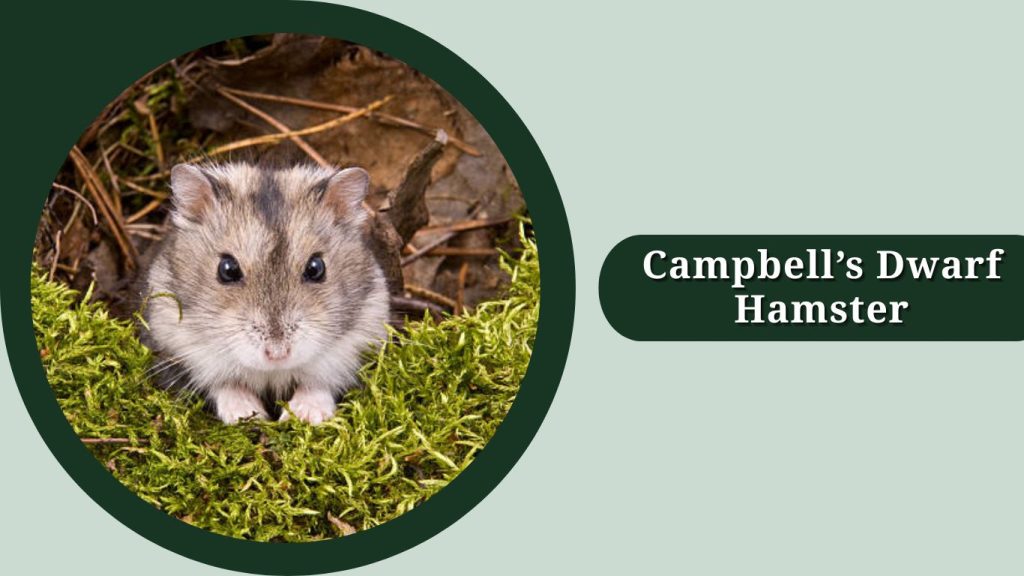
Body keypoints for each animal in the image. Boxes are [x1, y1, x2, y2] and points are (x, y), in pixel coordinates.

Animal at [140, 162, 390, 424]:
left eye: (316, 268)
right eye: (227, 269)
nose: (277, 354)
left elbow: (319, 383)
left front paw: (304, 416)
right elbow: (224, 384)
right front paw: (247, 415)